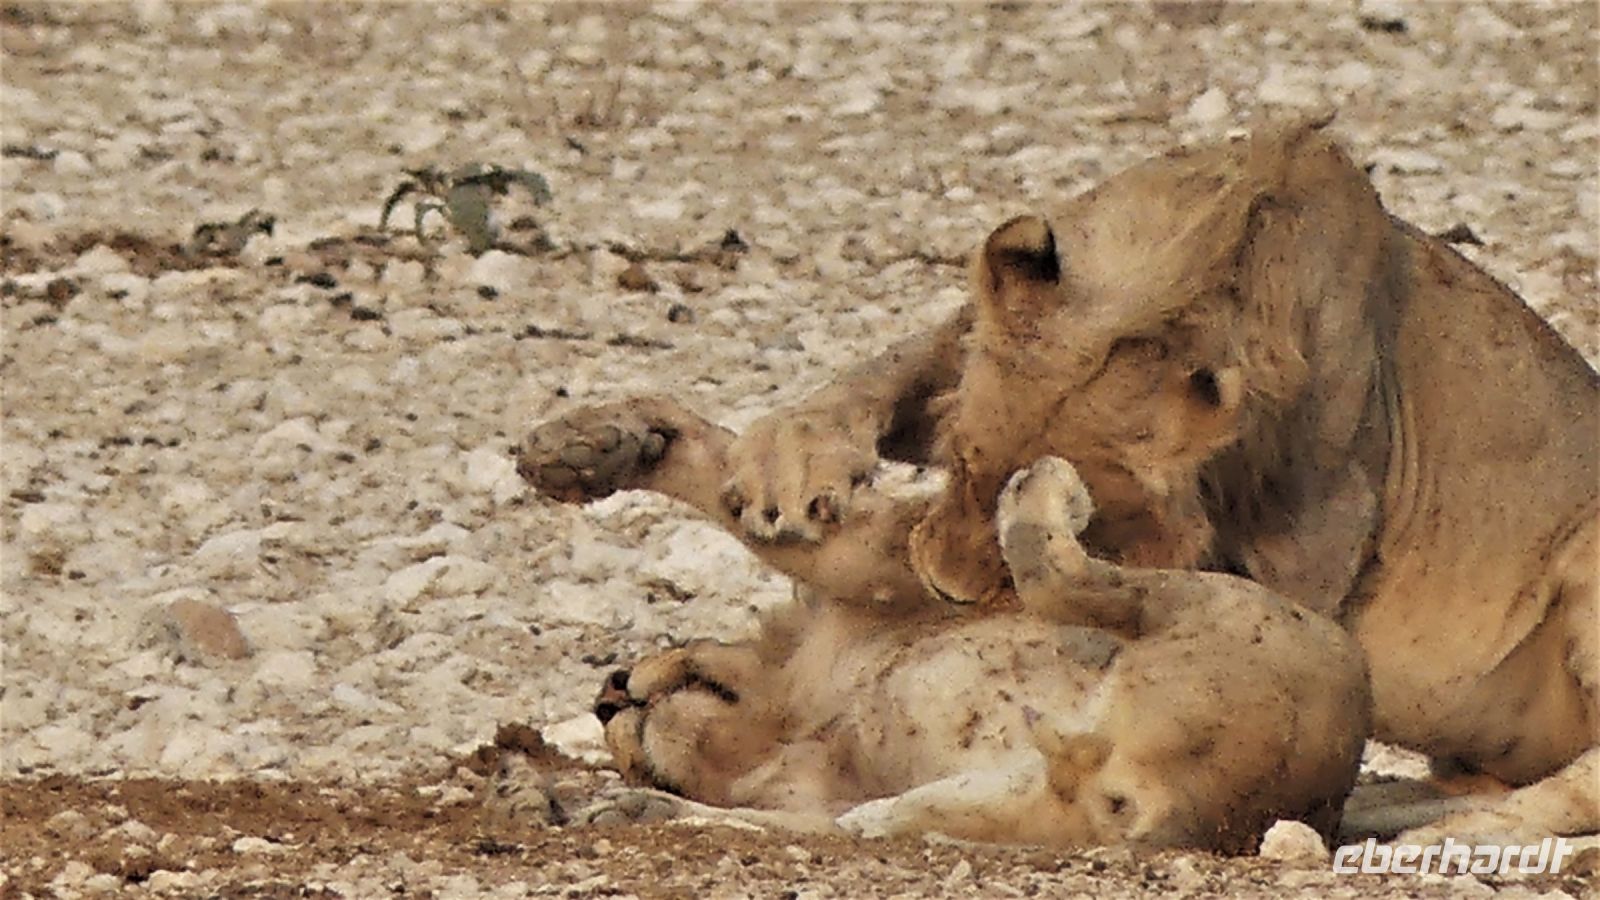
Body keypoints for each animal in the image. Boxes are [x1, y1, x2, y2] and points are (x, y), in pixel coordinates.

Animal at [521, 398, 1371, 851]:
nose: (606, 695)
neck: (793, 718)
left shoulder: (875, 559)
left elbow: (727, 478)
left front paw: (590, 444)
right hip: (985, 798)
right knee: (864, 828)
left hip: (1230, 607)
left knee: (1062, 573)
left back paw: (1045, 486)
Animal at [710, 119, 1599, 844]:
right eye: (961, 462)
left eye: (1094, 517)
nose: (945, 593)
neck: (1194, 285)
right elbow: (897, 363)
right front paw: (786, 460)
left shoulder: (1316, 543)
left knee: (1581, 786)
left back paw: (1456, 829)